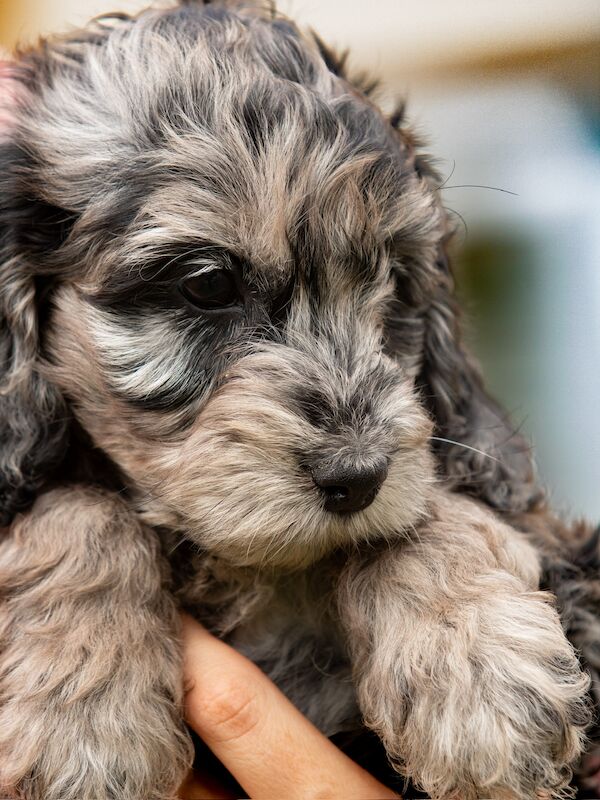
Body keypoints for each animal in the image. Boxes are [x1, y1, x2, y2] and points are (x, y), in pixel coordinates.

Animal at [0, 1, 596, 800]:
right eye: (206, 284)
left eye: (395, 283)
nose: (359, 477)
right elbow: (75, 505)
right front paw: (83, 722)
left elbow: (424, 510)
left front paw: (480, 668)